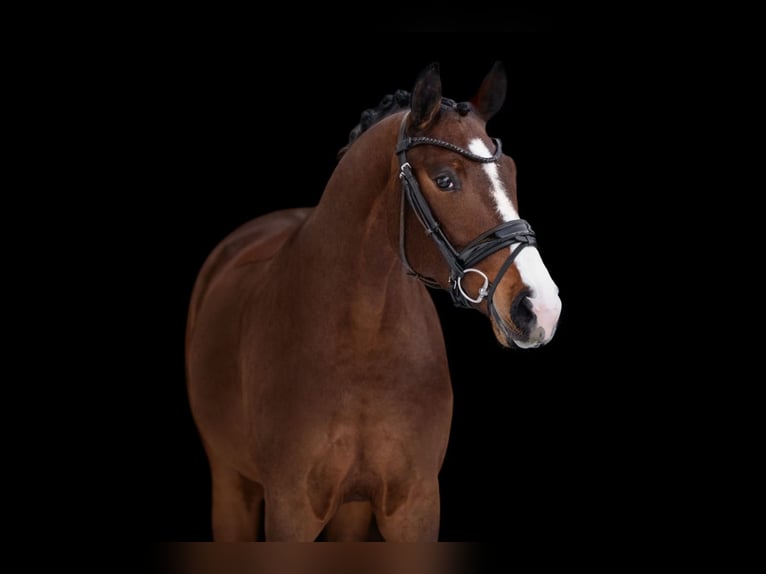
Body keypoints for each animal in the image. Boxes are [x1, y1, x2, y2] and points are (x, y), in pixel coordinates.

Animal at [184, 61, 562, 542]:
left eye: (510, 173)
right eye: (445, 179)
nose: (540, 308)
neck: (364, 344)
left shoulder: (415, 504)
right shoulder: (289, 508)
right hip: (232, 484)